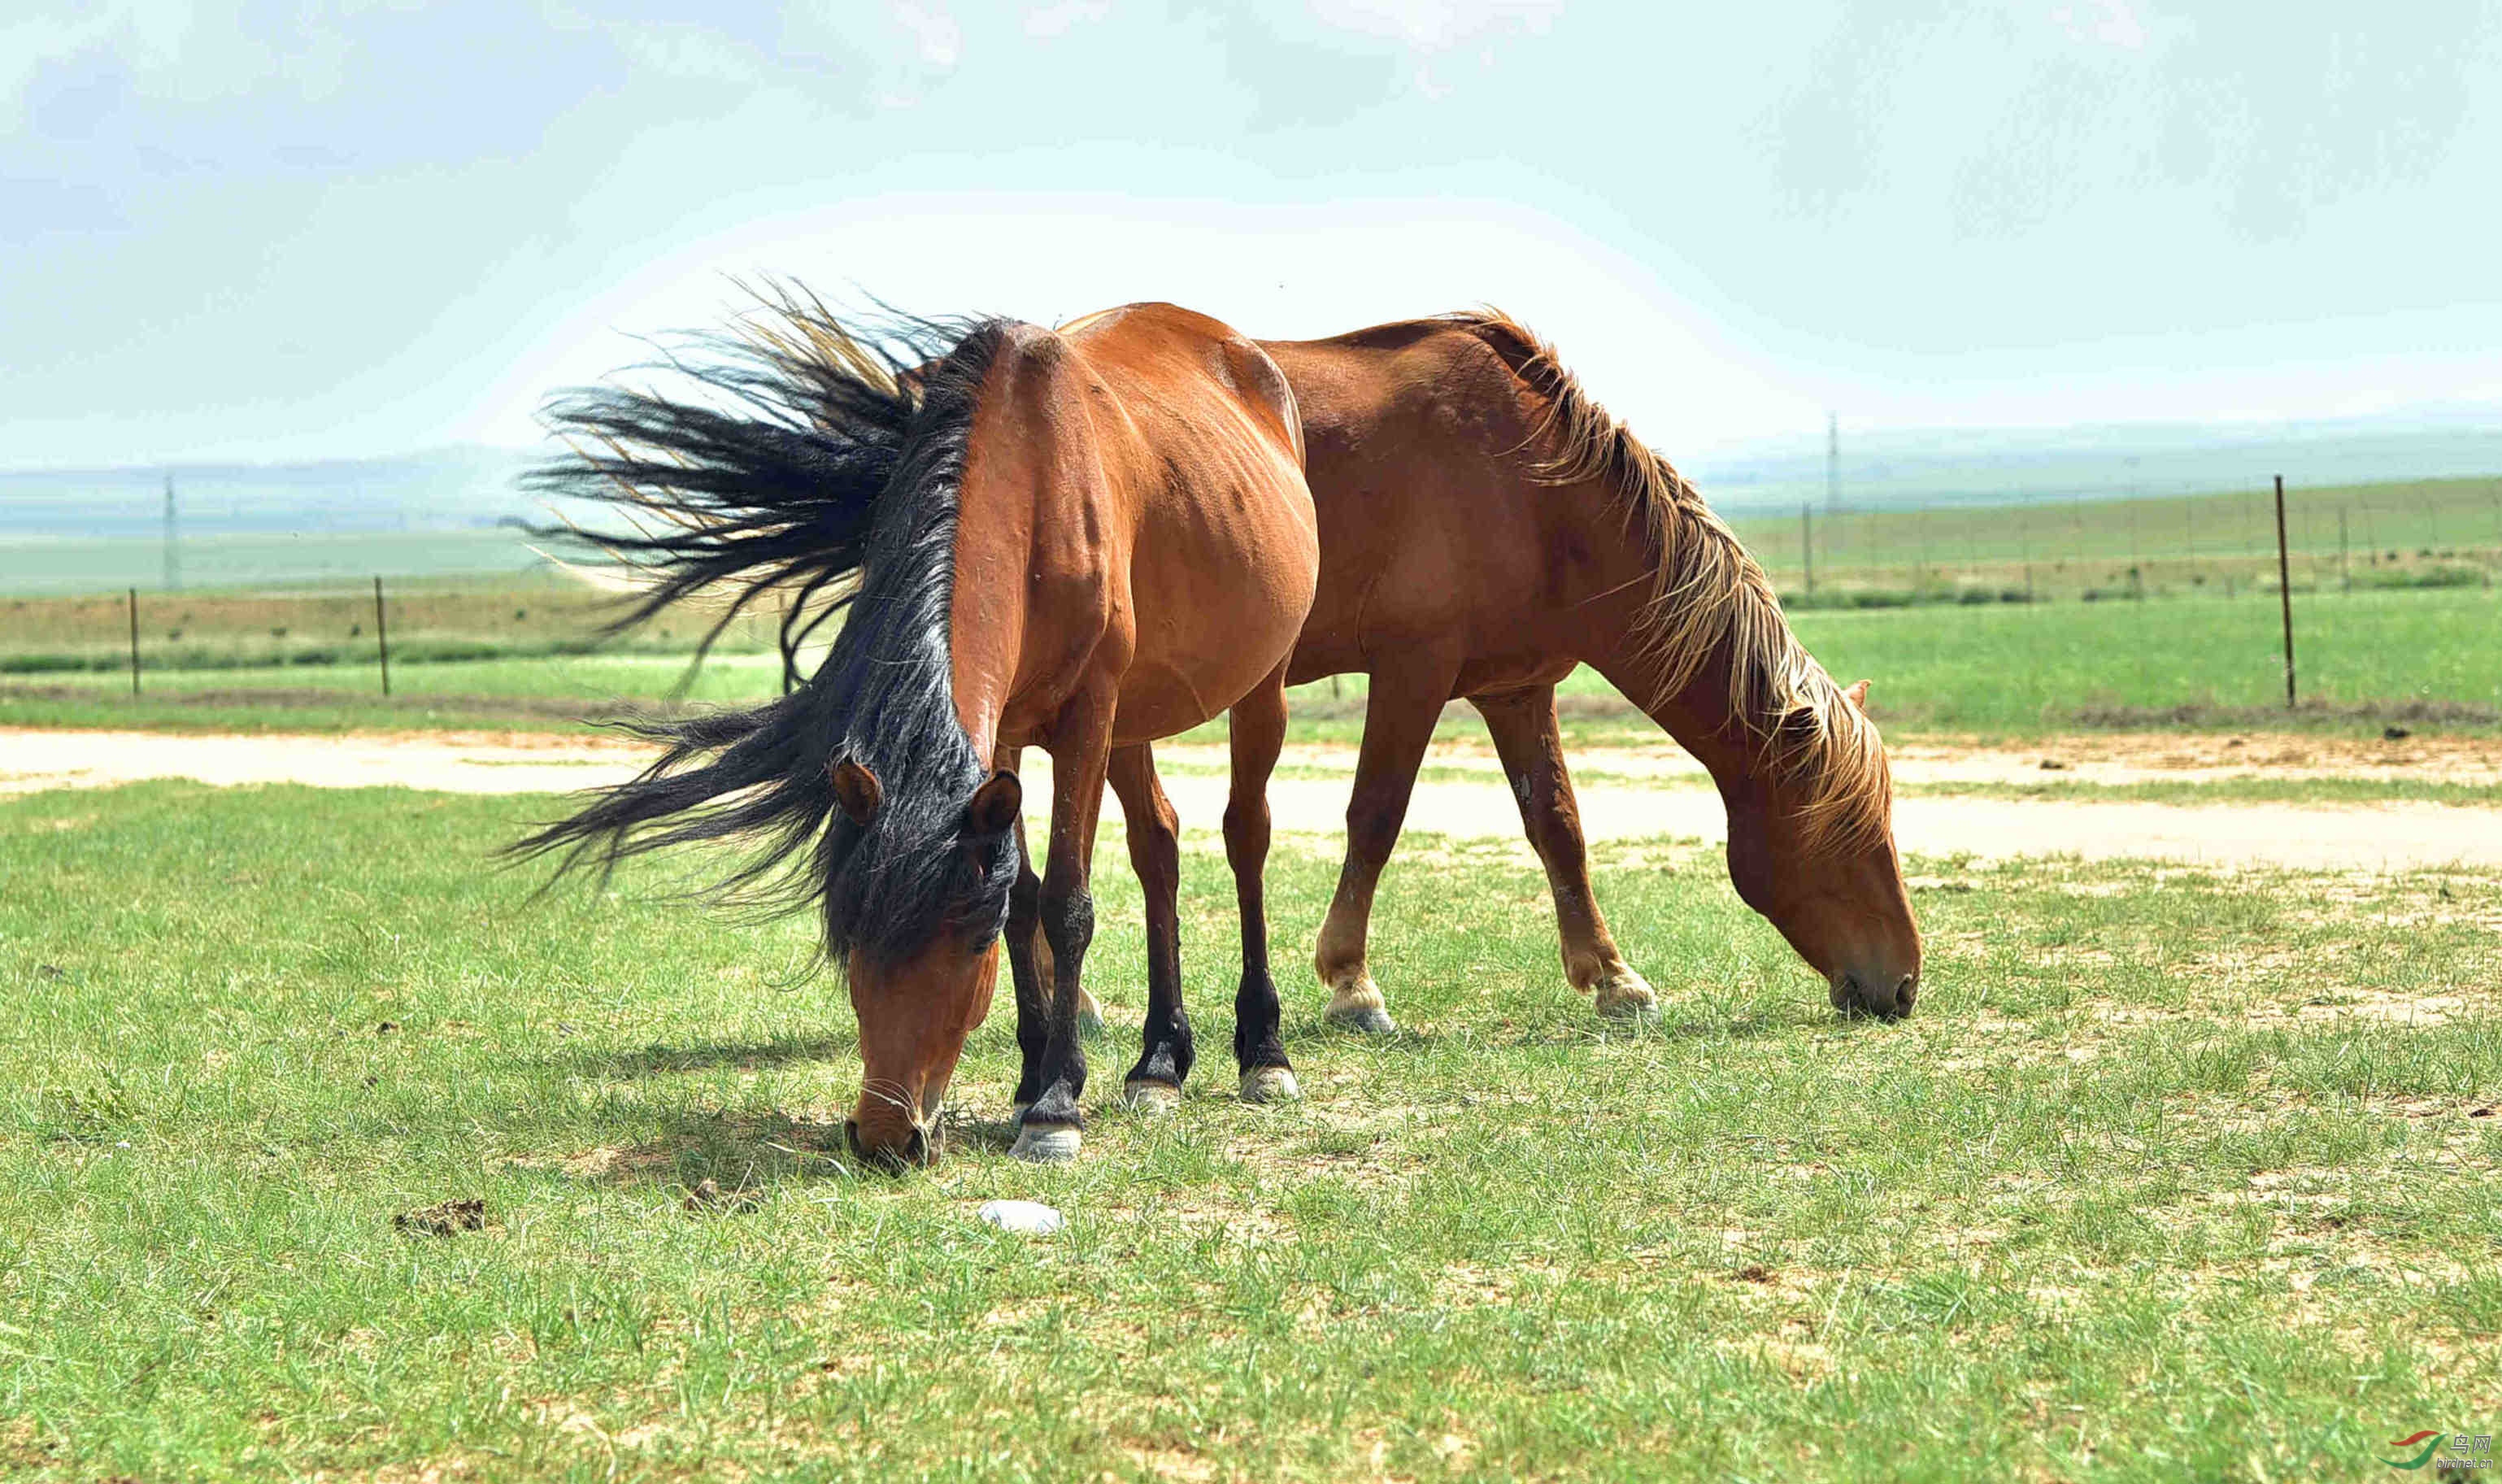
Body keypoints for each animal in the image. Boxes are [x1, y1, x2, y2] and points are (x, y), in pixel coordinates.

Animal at [512, 293, 1330, 1171]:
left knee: (1245, 835)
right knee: (1160, 845)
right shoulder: (1007, 734)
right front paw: (1030, 1081)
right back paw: (1158, 1064)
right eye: (849, 944)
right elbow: (1023, 897)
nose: (884, 1134)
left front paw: (1054, 1106)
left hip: (1256, 685)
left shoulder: (1084, 716)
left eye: (965, 950)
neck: (1037, 486)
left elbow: (1066, 901)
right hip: (1133, 720)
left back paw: (1264, 1054)